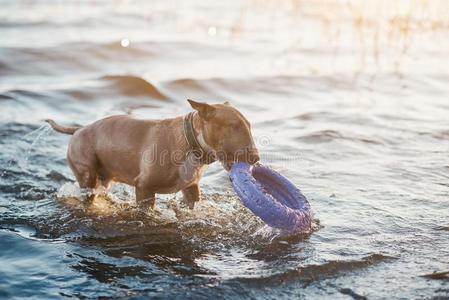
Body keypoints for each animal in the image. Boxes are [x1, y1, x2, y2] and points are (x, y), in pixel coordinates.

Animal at [45, 99, 260, 210]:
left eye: (249, 125)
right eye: (234, 126)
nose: (257, 158)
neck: (190, 142)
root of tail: (78, 130)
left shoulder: (191, 189)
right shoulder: (144, 188)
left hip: (104, 179)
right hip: (87, 173)